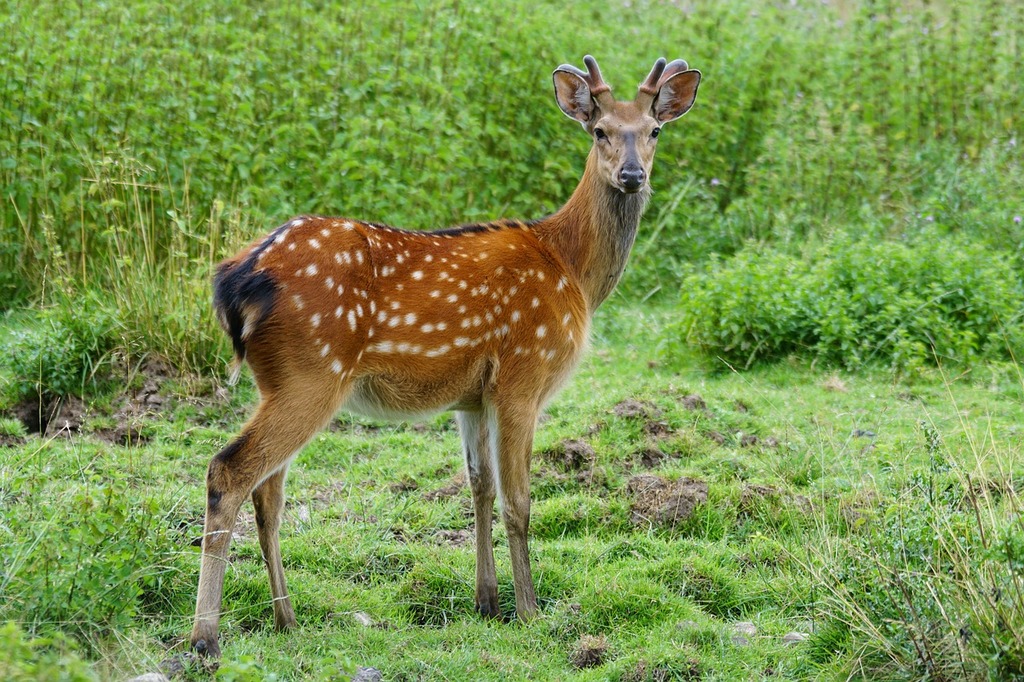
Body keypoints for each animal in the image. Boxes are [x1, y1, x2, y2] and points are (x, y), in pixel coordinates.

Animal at [190, 55, 700, 657]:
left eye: (654, 130)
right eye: (599, 130)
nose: (632, 175)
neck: (571, 268)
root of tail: (234, 279)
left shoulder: (472, 398)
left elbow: (479, 488)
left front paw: (488, 603)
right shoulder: (523, 374)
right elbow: (519, 501)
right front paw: (530, 611)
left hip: (278, 380)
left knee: (268, 490)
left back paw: (286, 619)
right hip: (311, 372)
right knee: (230, 470)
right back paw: (205, 638)